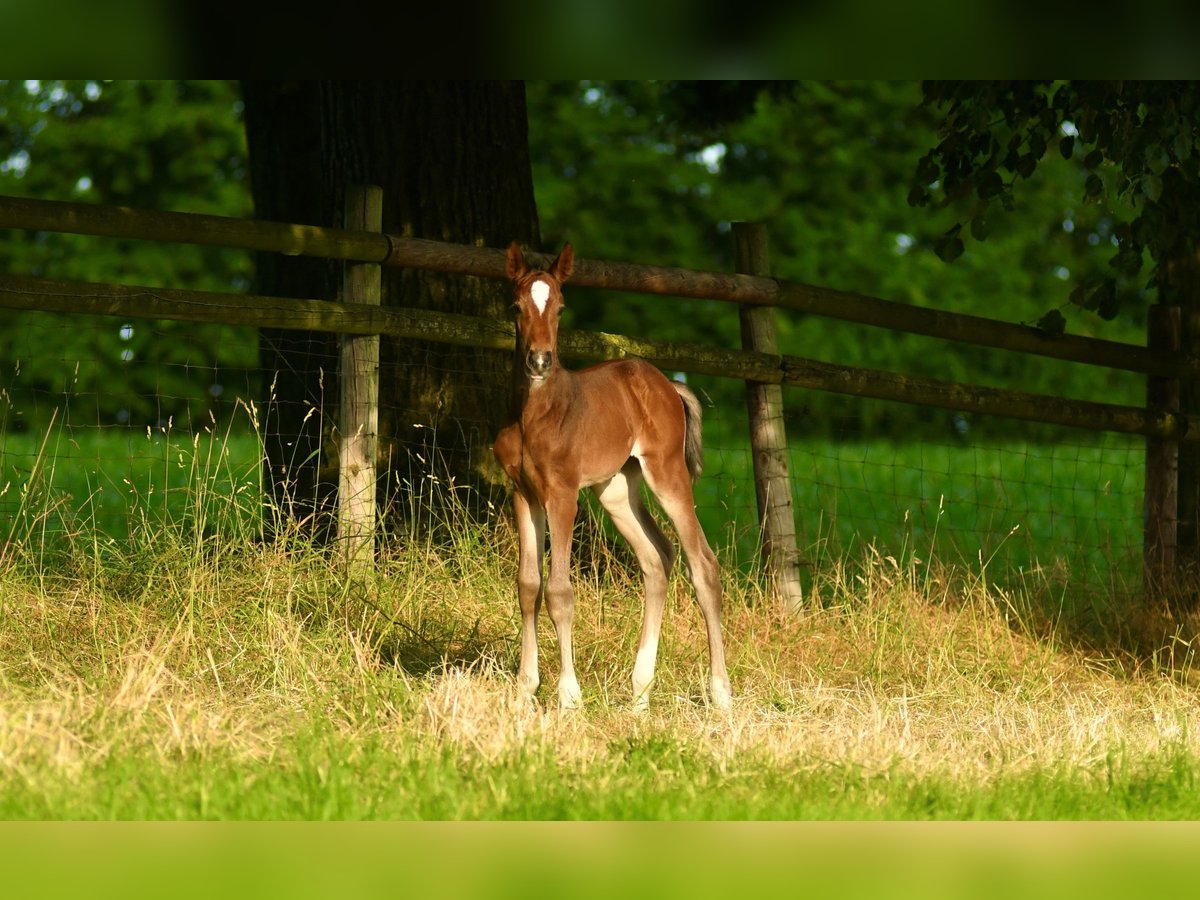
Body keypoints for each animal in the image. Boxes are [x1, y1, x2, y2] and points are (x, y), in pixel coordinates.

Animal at [489, 243, 729, 715]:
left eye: (561, 307)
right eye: (515, 306)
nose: (539, 361)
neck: (536, 414)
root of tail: (669, 385)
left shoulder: (563, 495)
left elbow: (560, 592)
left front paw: (569, 695)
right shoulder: (523, 493)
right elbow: (528, 585)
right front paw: (525, 690)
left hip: (666, 473)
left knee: (703, 564)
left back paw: (721, 694)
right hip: (616, 490)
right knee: (657, 559)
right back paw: (640, 693)